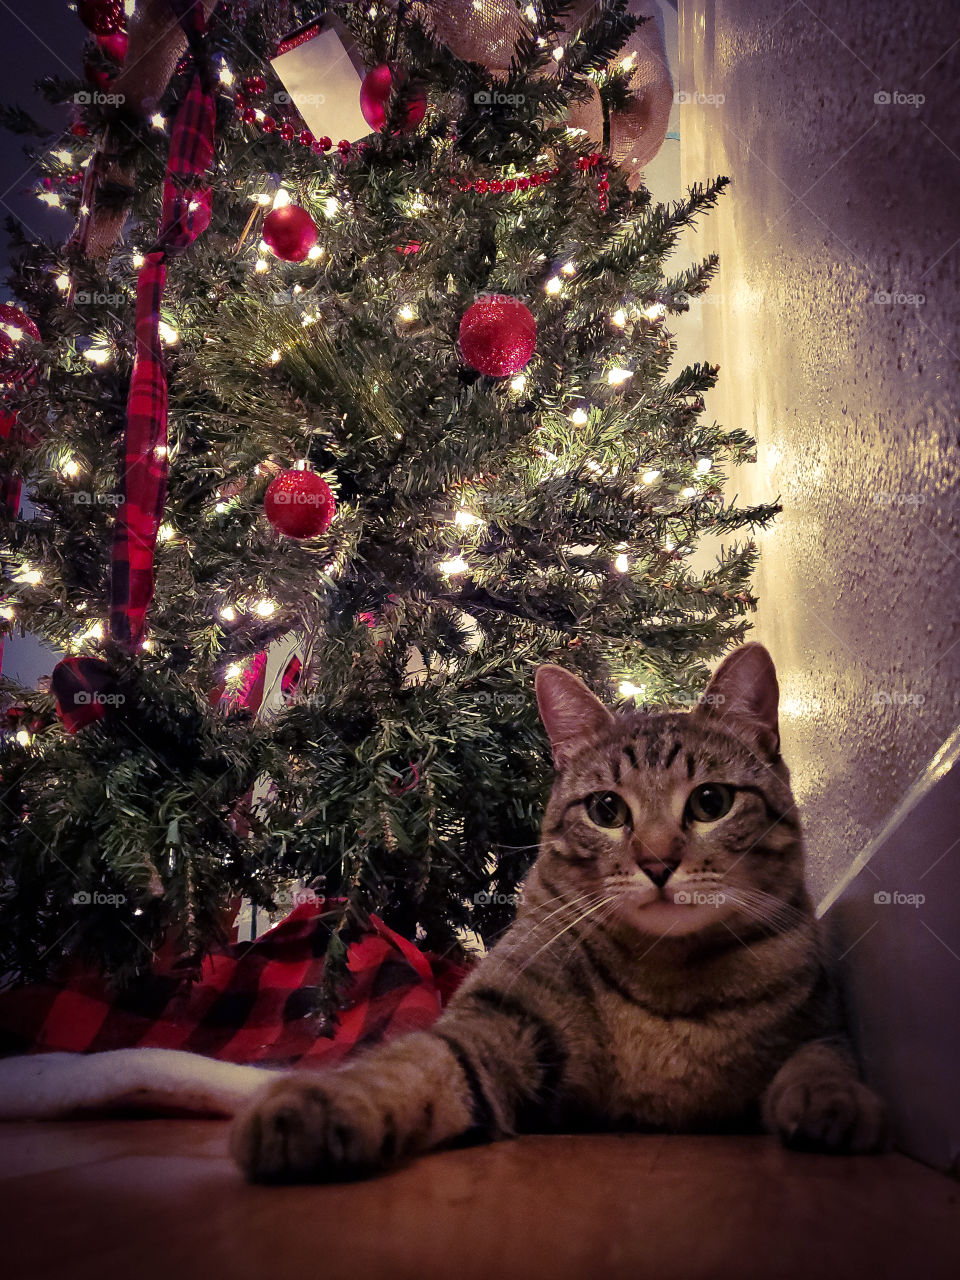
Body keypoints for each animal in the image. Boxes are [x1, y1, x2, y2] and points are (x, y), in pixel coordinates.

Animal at [232, 645, 885, 1182]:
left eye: (710, 802)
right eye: (606, 810)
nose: (657, 862)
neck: (665, 981)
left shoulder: (822, 1019)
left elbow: (825, 1059)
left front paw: (835, 1102)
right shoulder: (495, 1022)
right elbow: (414, 1061)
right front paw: (318, 1105)